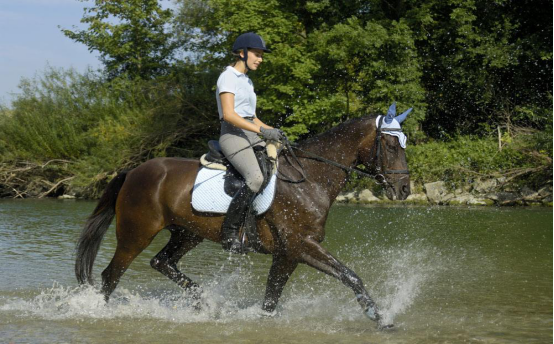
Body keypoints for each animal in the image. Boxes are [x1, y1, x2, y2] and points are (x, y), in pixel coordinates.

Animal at [75, 113, 408, 328]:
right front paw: (379, 318)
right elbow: (350, 276)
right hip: (136, 234)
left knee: (163, 262)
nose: (404, 189)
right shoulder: (301, 246)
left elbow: (271, 299)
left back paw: (206, 304)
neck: (309, 179)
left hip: (187, 233)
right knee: (111, 276)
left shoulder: (288, 254)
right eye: (392, 146)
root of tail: (132, 171)